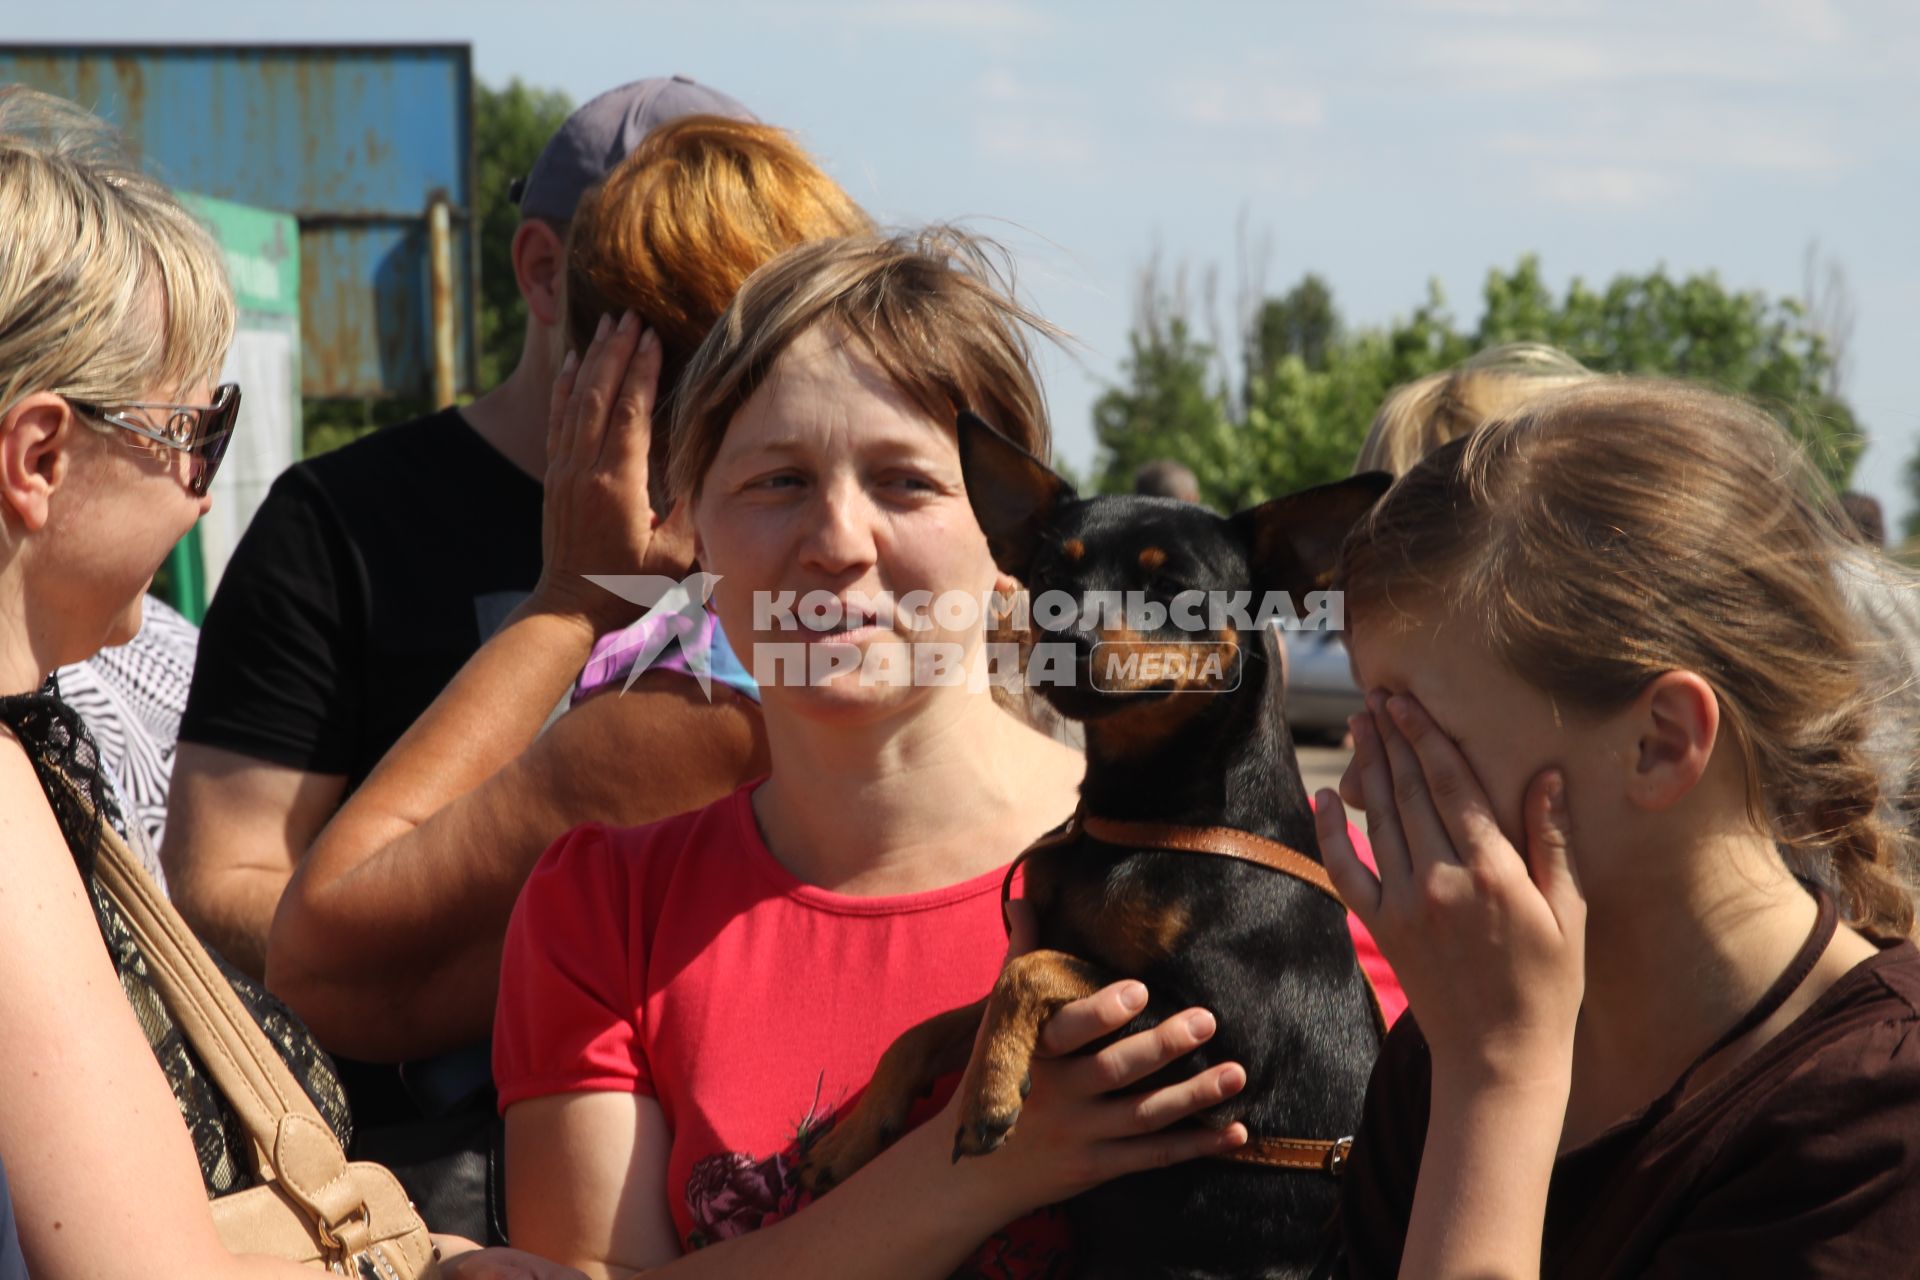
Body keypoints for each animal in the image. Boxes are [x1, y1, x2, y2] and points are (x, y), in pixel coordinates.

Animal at [798, 416, 1397, 1274]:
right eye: (1051, 575)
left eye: (1171, 588)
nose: (1065, 635)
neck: (1141, 819)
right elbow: (939, 1022)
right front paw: (855, 1135)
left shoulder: (1218, 1041)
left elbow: (1029, 971)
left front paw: (987, 1093)